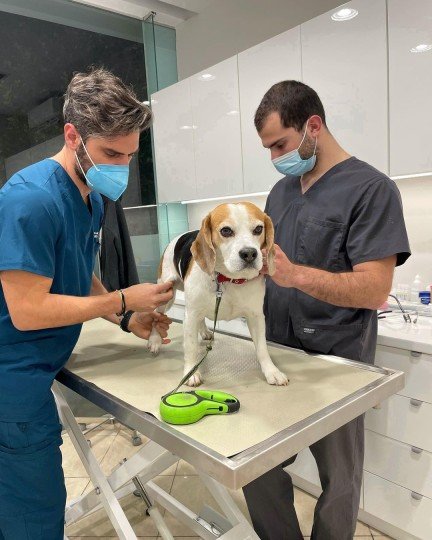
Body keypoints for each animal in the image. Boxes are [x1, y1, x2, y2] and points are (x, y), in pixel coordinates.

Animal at [147, 202, 288, 388]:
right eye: (226, 231)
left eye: (258, 229)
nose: (250, 253)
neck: (227, 279)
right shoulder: (190, 316)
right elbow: (190, 347)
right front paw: (191, 372)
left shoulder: (256, 316)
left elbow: (262, 348)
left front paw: (271, 371)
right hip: (166, 293)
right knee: (157, 314)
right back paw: (155, 340)